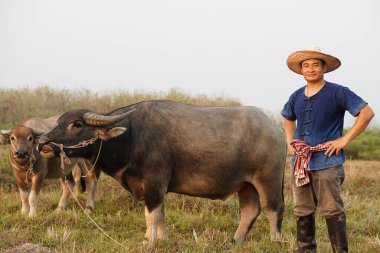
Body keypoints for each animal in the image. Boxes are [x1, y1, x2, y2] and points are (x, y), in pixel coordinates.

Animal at [38, 100, 286, 243]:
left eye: (77, 124)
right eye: (59, 121)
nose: (42, 143)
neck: (132, 136)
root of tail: (276, 129)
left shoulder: (154, 183)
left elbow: (151, 214)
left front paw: (150, 240)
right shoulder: (156, 188)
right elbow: (161, 214)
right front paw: (161, 238)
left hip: (268, 179)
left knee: (273, 209)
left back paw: (275, 241)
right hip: (245, 185)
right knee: (250, 210)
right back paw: (236, 240)